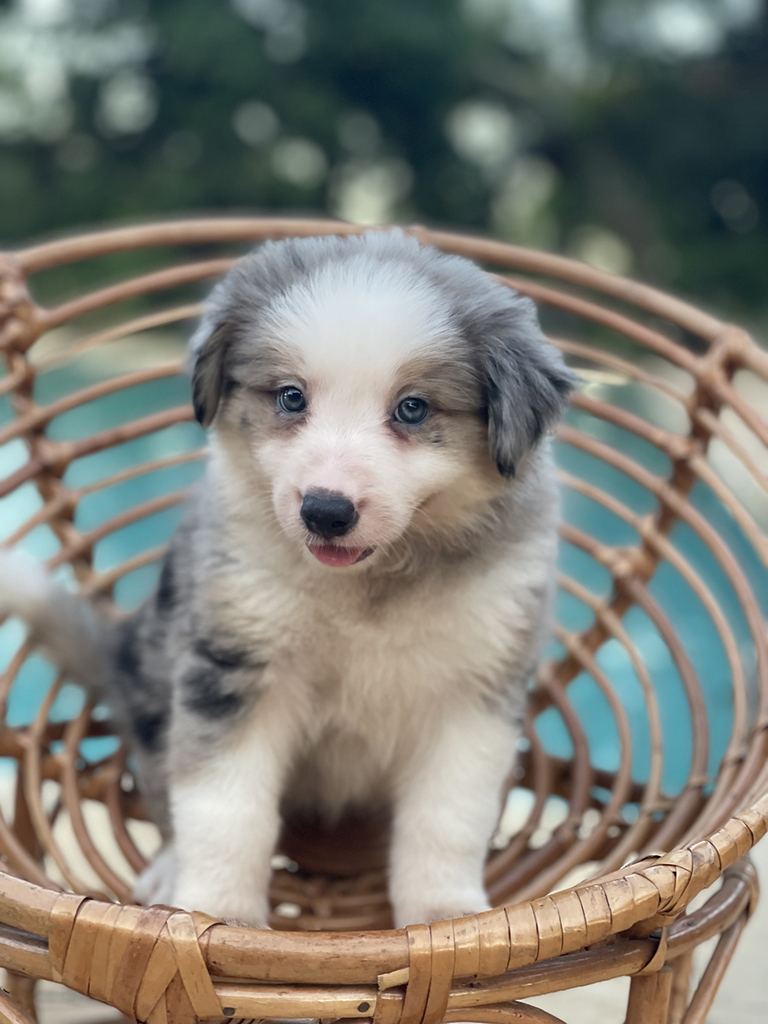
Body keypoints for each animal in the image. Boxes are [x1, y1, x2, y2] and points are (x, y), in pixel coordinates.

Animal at [0, 232, 573, 929]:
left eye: (412, 408)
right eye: (291, 397)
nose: (325, 510)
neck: (371, 588)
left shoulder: (474, 690)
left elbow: (448, 816)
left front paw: (446, 916)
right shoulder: (235, 665)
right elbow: (224, 807)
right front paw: (216, 915)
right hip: (155, 692)